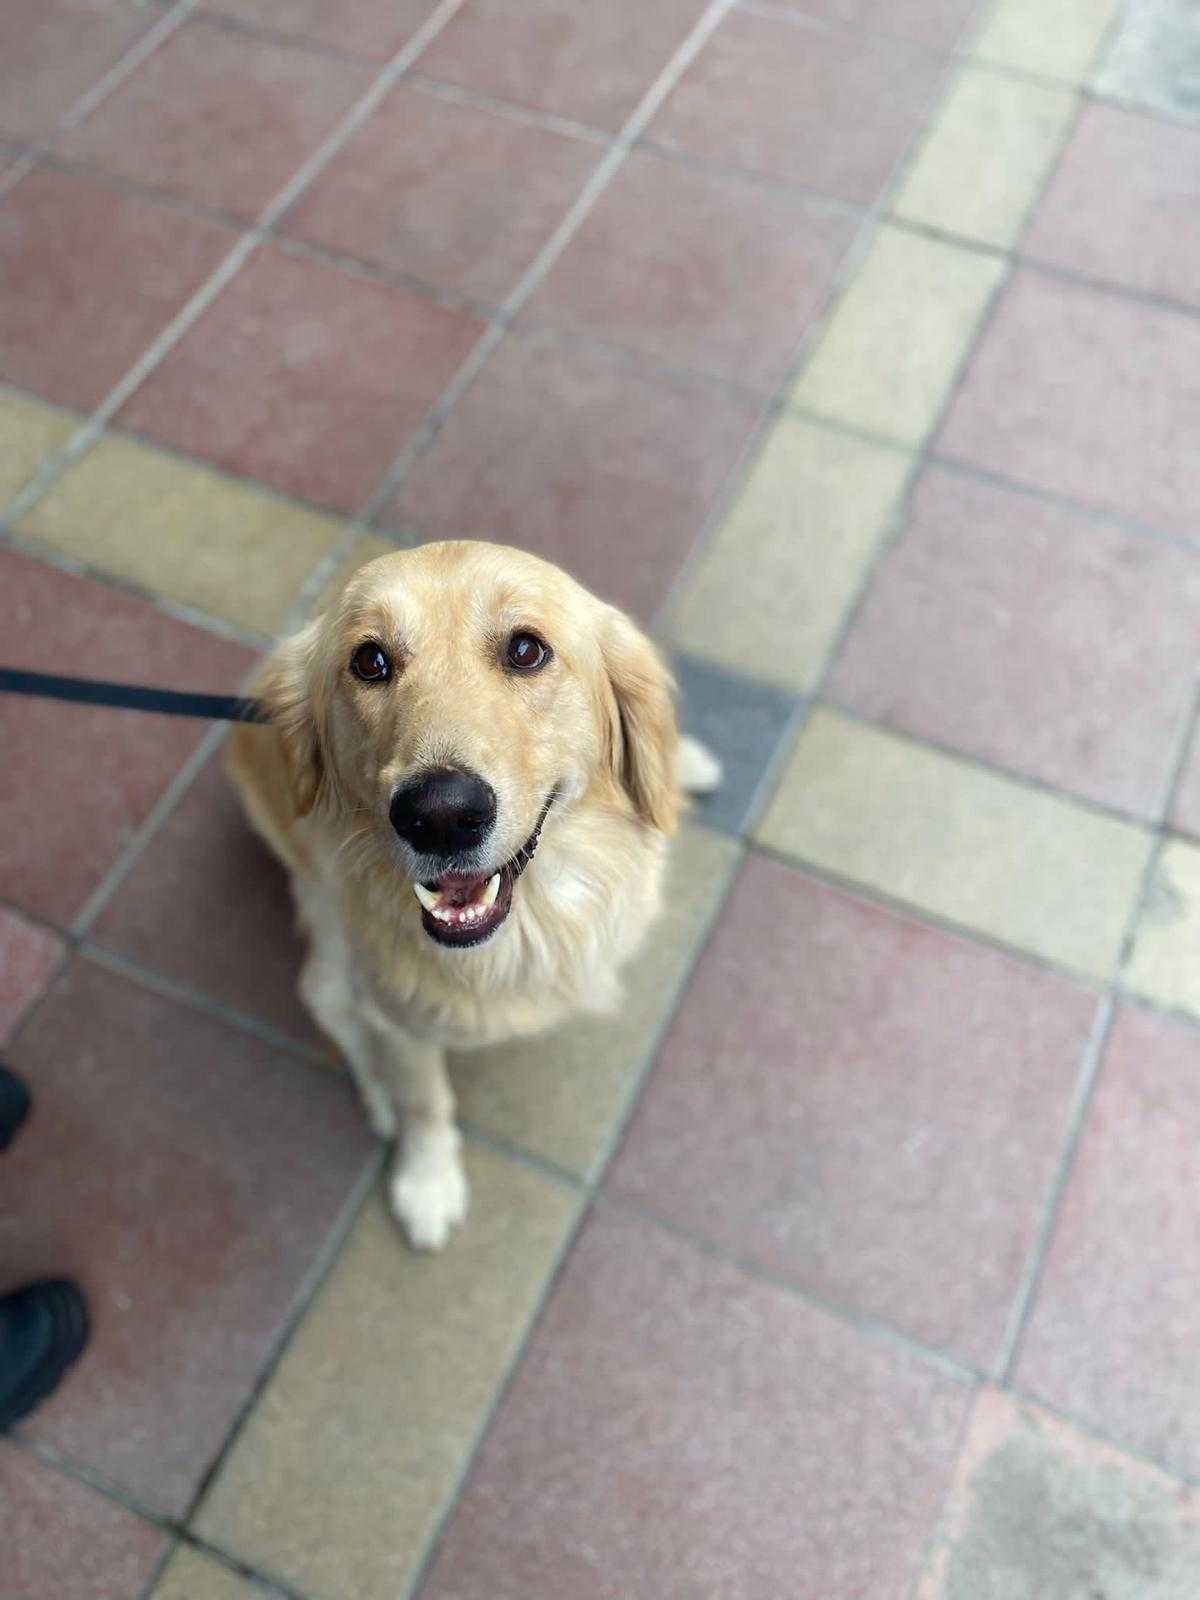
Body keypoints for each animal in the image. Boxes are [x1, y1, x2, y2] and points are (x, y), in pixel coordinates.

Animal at [226, 541, 720, 1249]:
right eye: (369, 660)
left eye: (526, 650)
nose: (439, 815)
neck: (523, 933)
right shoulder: (398, 1017)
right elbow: (425, 1098)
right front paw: (428, 1184)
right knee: (331, 1008)